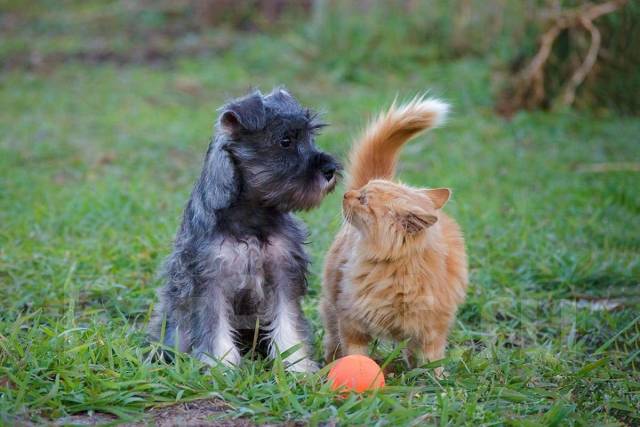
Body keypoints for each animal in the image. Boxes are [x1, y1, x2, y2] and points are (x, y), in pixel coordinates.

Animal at [149, 88, 340, 372]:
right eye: (285, 141)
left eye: (310, 137)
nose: (330, 170)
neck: (252, 214)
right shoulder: (210, 279)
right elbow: (215, 329)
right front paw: (221, 367)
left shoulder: (283, 272)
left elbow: (288, 325)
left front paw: (297, 367)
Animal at [322, 97, 468, 378]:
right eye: (362, 190)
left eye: (364, 199)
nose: (346, 194)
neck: (399, 270)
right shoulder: (351, 321)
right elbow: (355, 353)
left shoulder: (433, 330)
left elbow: (434, 359)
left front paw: (438, 381)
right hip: (331, 302)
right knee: (332, 340)